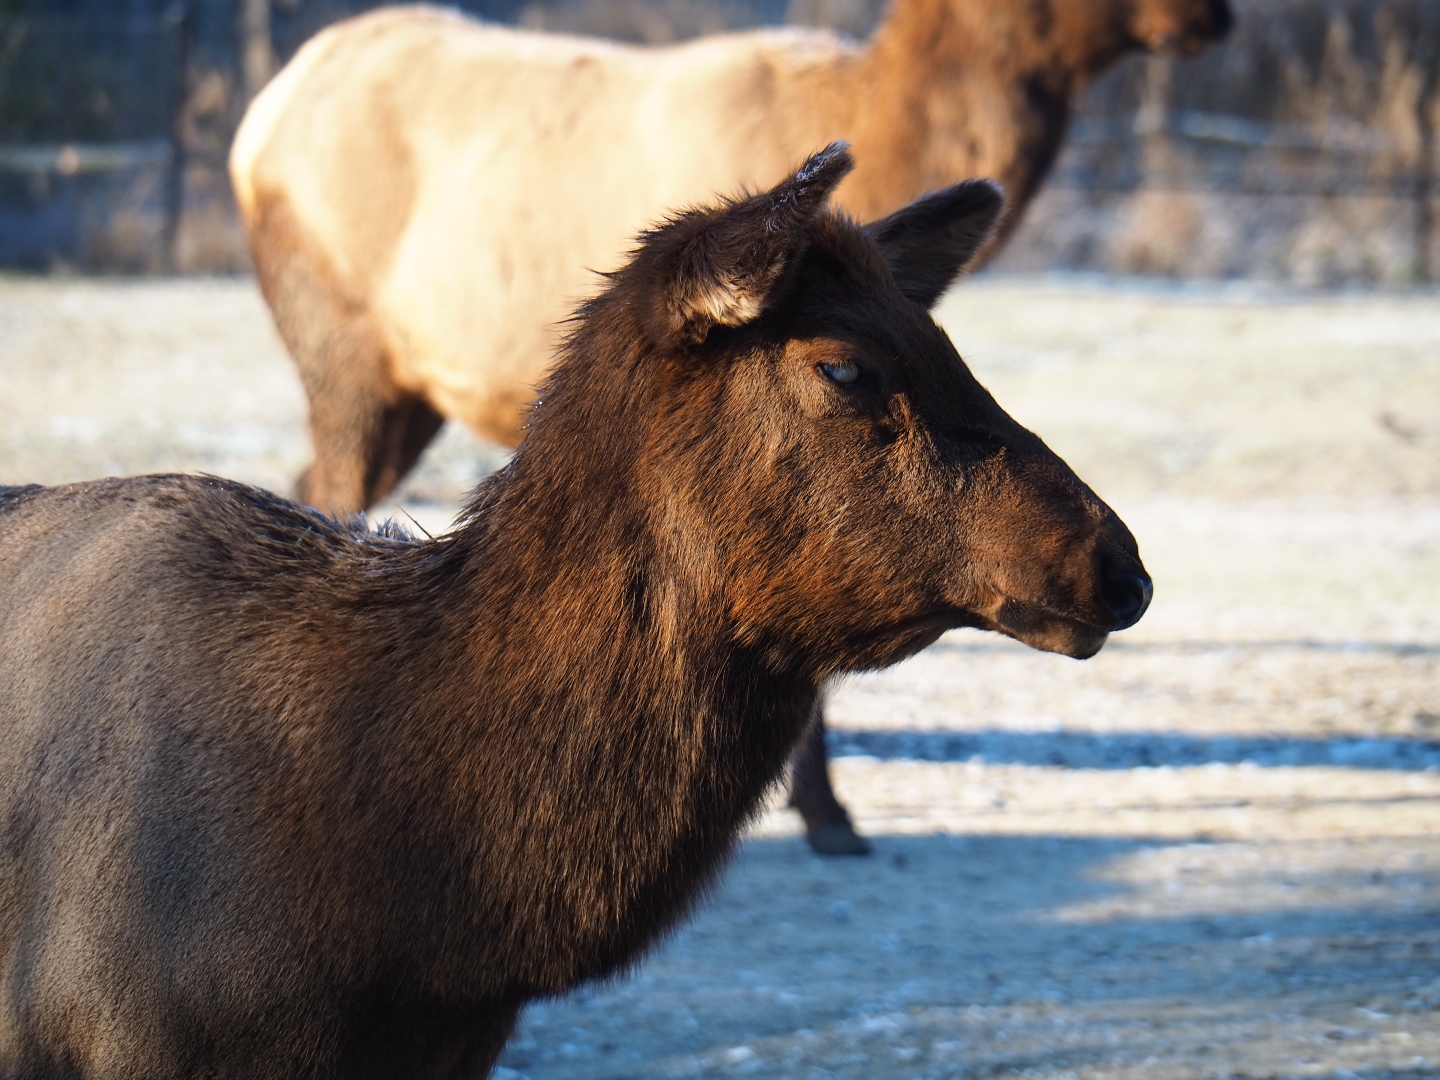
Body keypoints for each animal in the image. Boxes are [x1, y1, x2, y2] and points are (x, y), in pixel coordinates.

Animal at [229, 0, 1223, 853]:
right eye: (843, 368)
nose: (1217, 17)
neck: (883, 126)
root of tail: (256, 126)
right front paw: (825, 812)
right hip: (345, 355)